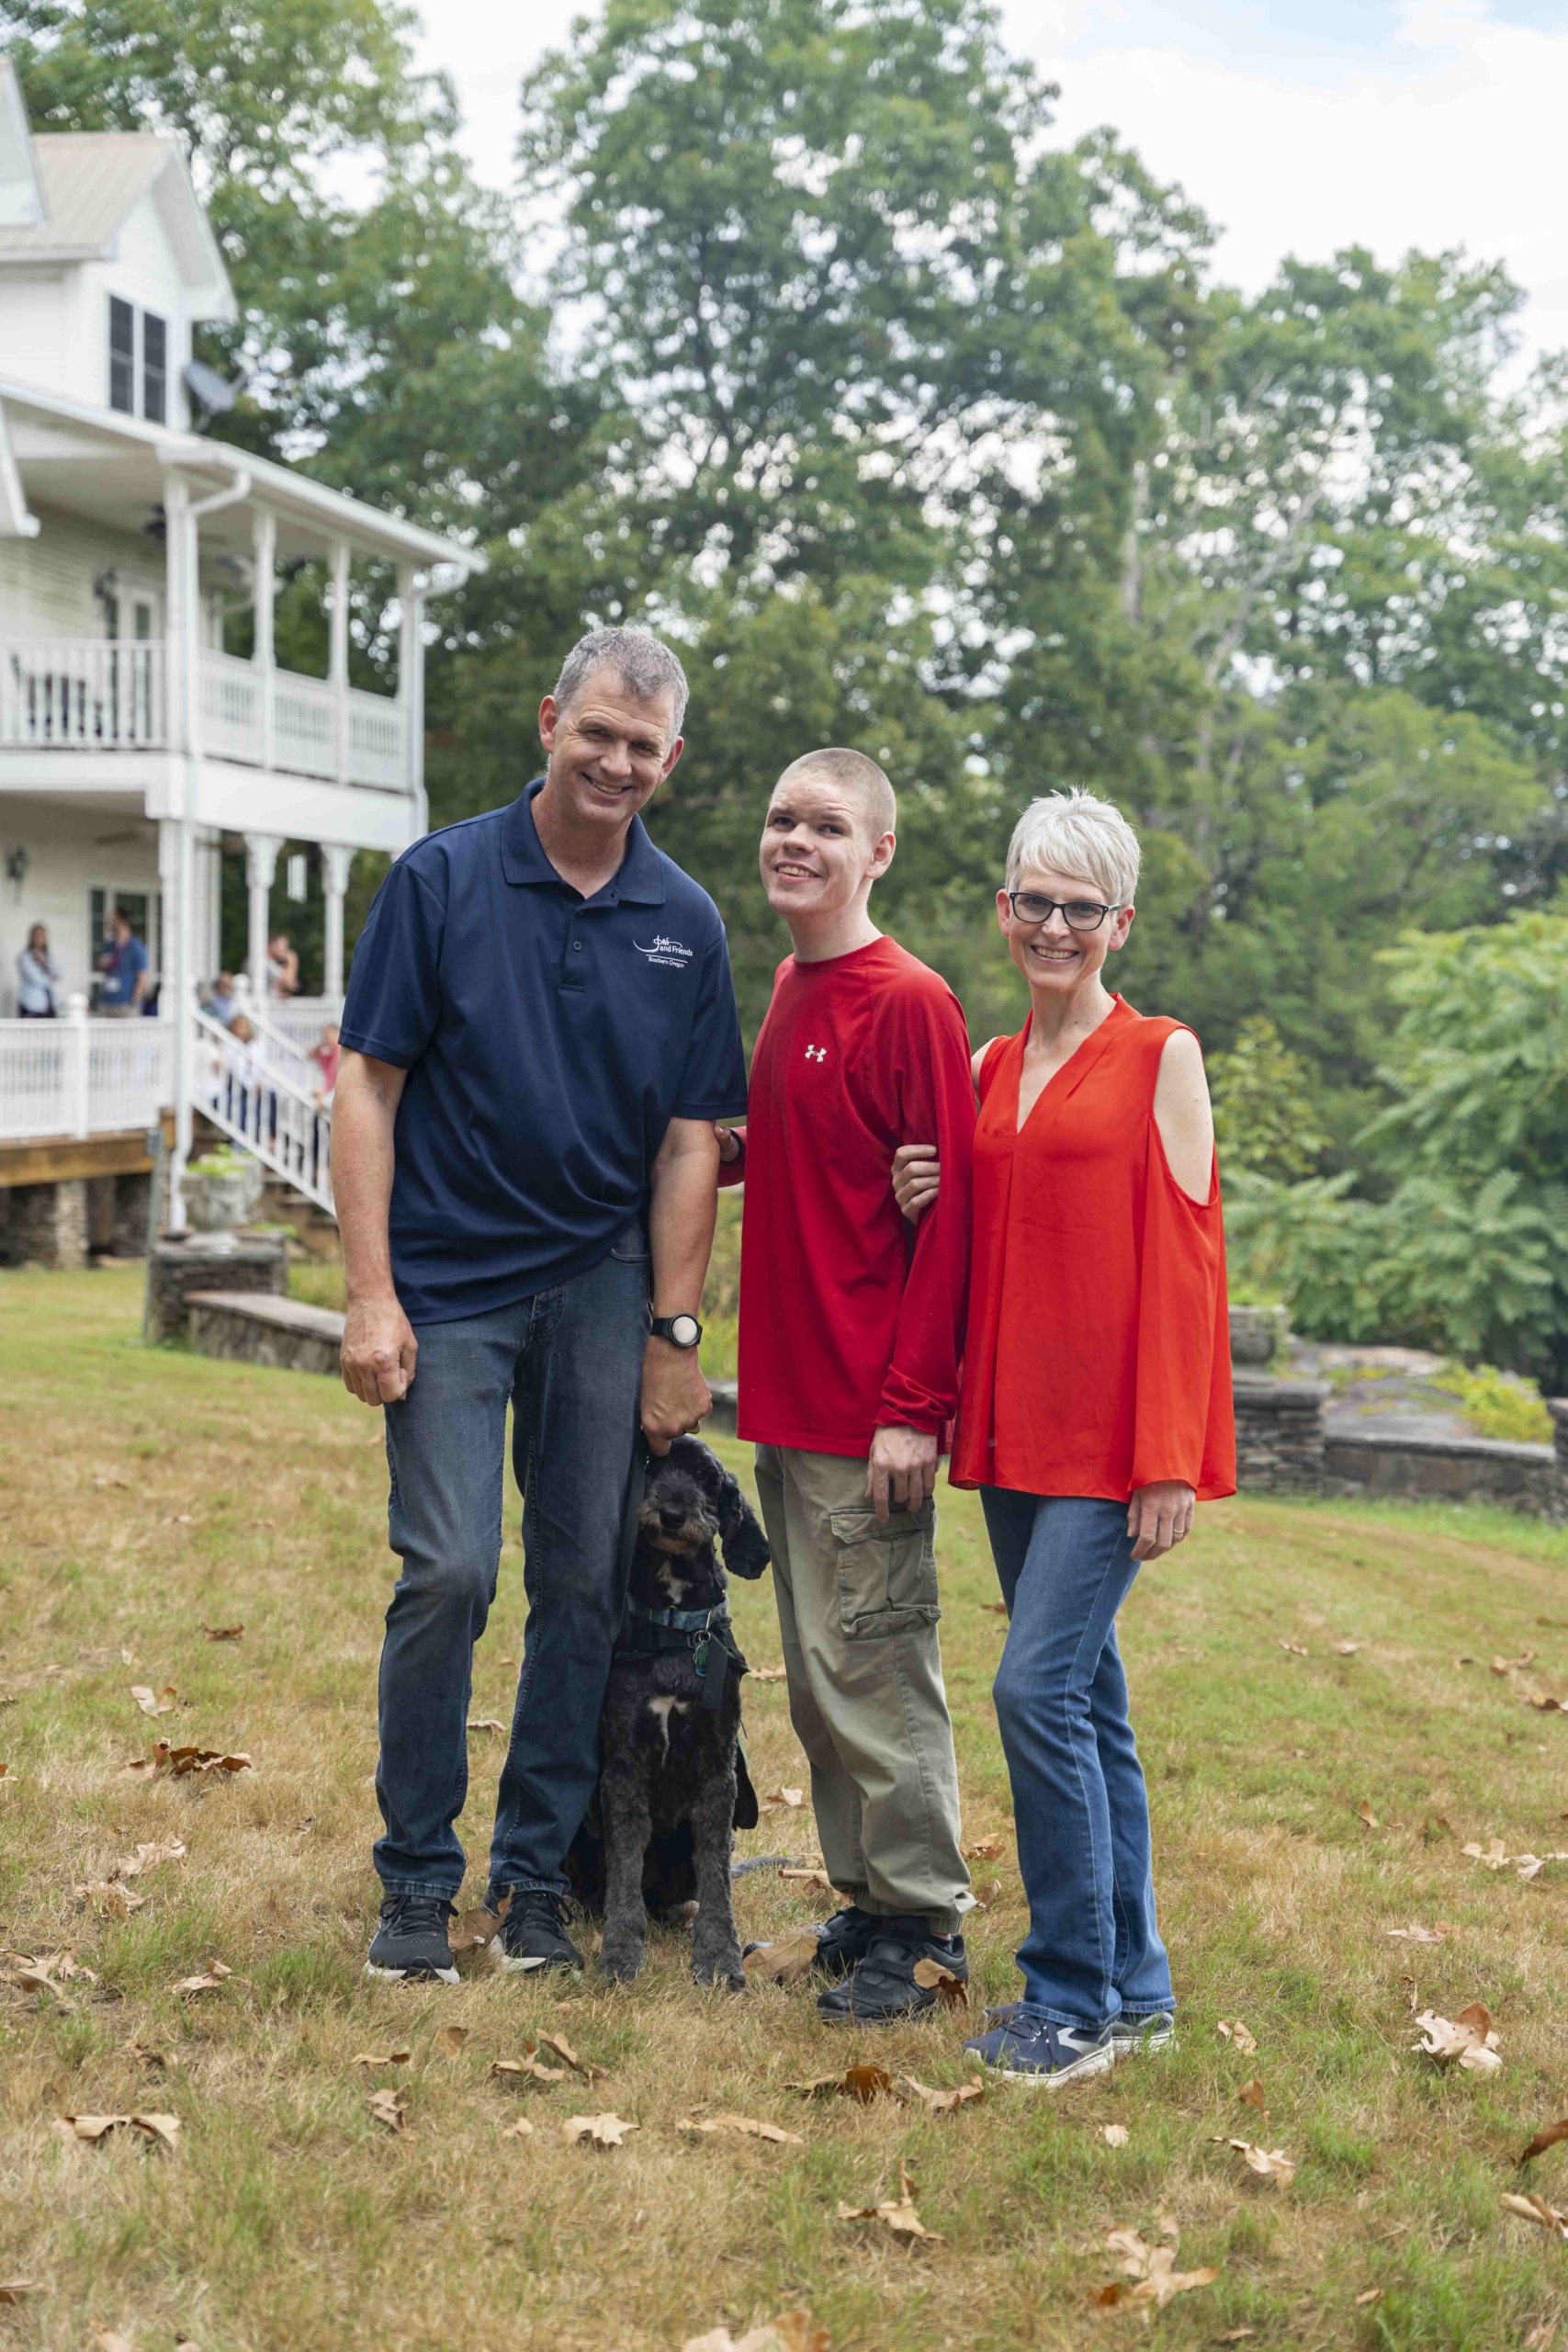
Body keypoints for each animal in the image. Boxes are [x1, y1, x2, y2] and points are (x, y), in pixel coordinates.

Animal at [573, 1430, 775, 1984]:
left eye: (706, 1477)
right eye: (652, 1465)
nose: (671, 1514)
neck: (675, 1624)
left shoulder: (717, 1770)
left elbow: (716, 1878)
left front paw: (720, 1957)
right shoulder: (623, 1769)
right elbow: (624, 1871)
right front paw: (620, 1952)